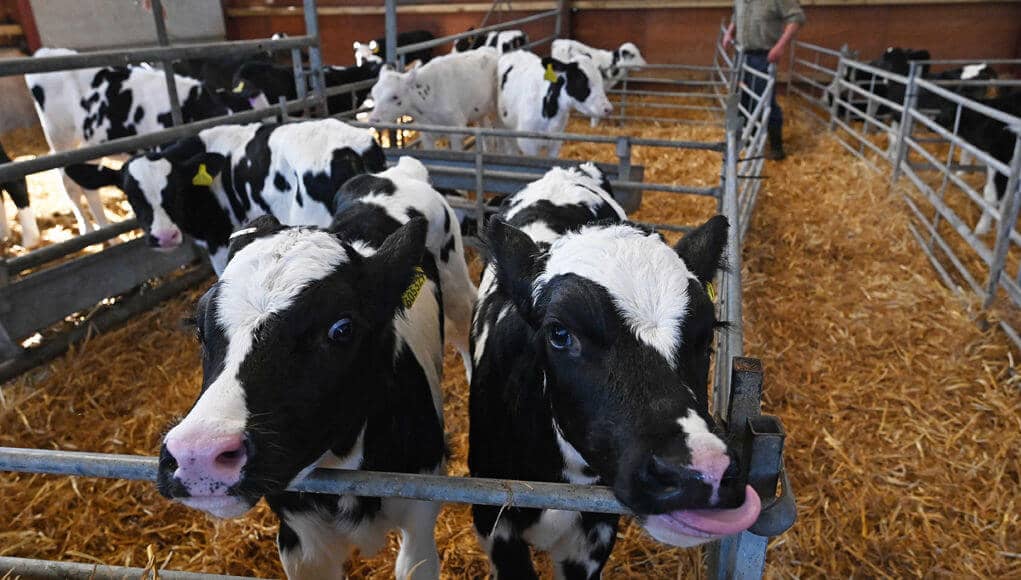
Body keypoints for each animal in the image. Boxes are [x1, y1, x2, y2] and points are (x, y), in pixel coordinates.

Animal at [155, 156, 477, 579]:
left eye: (342, 328)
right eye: (199, 326)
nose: (198, 454)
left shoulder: (421, 515)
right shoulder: (300, 542)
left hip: (456, 286)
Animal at [368, 48, 499, 150]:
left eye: (395, 96)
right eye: (374, 95)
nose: (374, 120)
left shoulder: (457, 130)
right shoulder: (427, 135)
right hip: (480, 112)